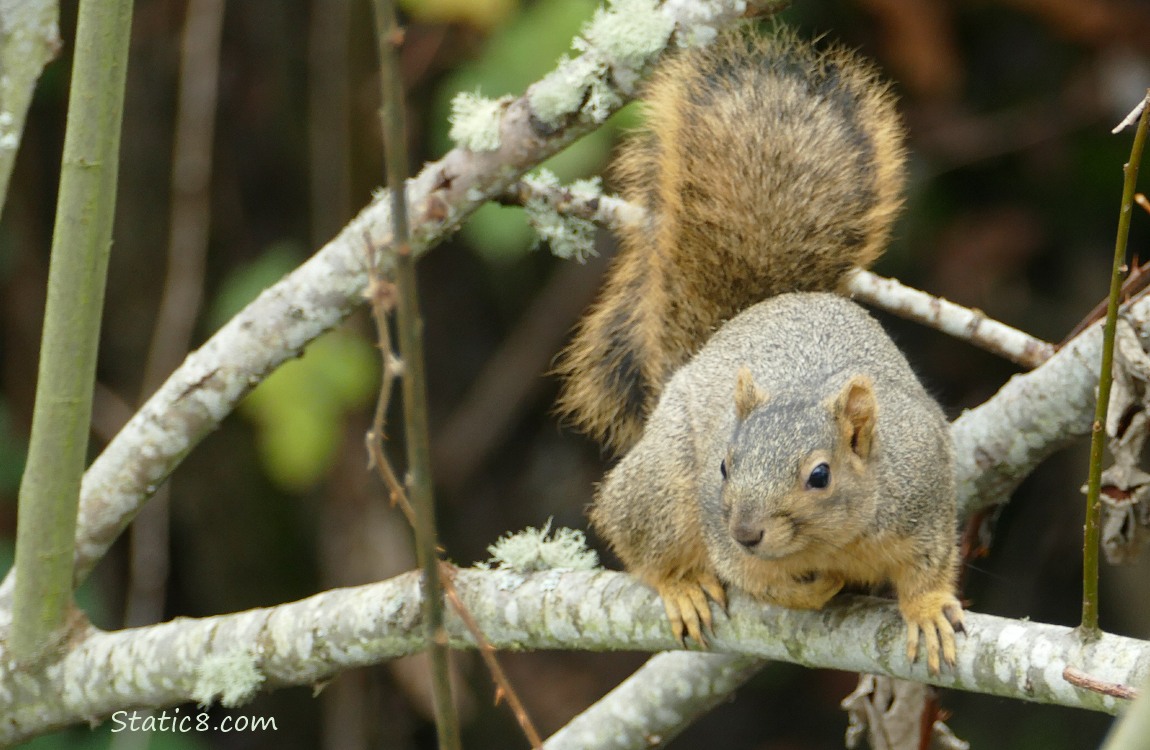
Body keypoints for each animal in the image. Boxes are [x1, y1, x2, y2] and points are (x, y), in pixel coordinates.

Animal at [555, 28, 965, 673]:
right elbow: (758, 583)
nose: (748, 531)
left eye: (820, 476)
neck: (829, 540)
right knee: (634, 530)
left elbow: (930, 565)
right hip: (665, 485)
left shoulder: (923, 496)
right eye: (725, 464)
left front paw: (926, 611)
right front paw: (806, 588)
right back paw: (680, 584)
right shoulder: (720, 526)